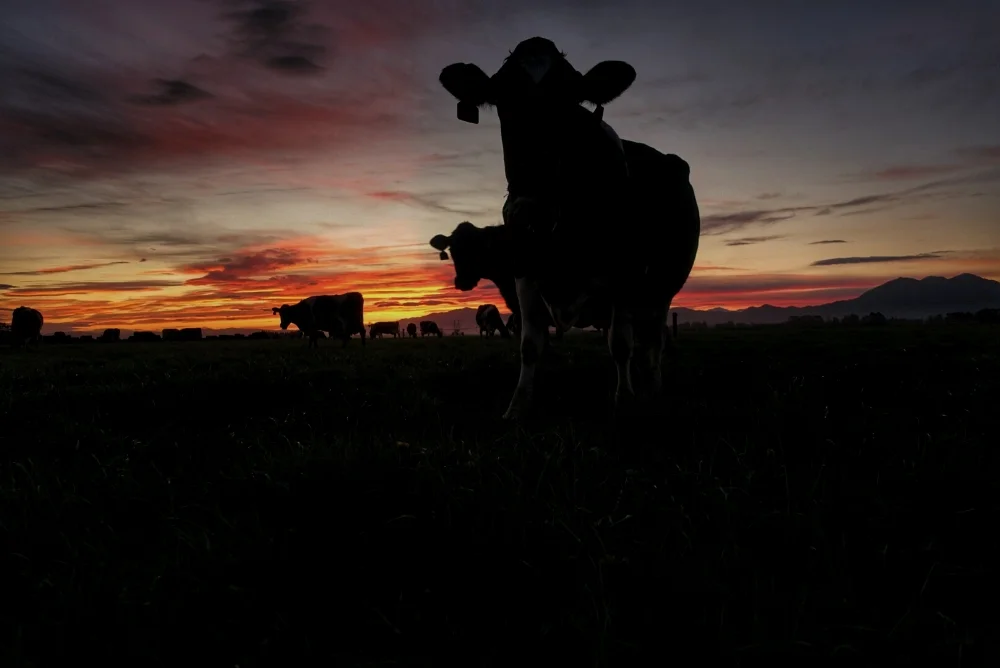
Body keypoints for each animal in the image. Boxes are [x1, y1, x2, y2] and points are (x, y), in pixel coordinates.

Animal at [435, 37, 701, 419]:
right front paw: (518, 406)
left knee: (652, 342)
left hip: (661, 289)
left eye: (571, 99)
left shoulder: (625, 275)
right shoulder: (525, 273)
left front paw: (624, 400)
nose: (530, 211)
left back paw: (652, 389)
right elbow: (530, 346)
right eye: (501, 100)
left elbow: (621, 345)